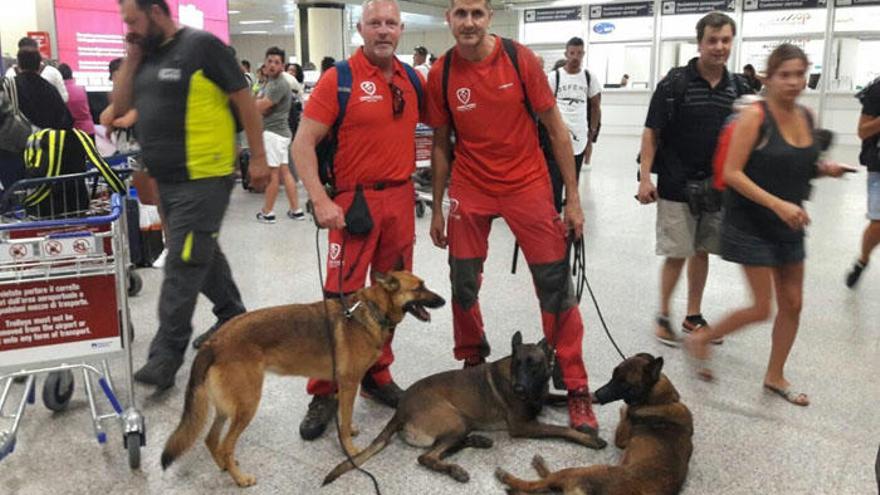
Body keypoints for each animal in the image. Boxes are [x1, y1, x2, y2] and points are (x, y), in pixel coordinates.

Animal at [158, 272, 444, 488]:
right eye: (419, 287)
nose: (442, 299)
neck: (371, 310)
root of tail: (213, 342)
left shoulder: (344, 385)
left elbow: (344, 415)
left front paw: (348, 429)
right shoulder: (349, 383)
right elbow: (345, 419)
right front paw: (351, 451)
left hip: (228, 408)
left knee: (211, 439)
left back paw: (226, 467)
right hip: (247, 405)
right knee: (226, 445)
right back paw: (239, 478)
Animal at [322, 332, 604, 486]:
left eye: (533, 364)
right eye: (517, 363)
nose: (518, 388)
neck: (533, 388)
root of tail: (400, 410)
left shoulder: (543, 398)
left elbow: (558, 397)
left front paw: (592, 396)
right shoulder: (523, 426)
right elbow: (562, 430)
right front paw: (589, 439)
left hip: (461, 423)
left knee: (445, 447)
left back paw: (478, 440)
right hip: (454, 420)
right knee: (427, 457)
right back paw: (455, 469)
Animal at [496, 354, 696, 494]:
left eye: (624, 383)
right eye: (613, 375)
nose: (599, 394)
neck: (663, 400)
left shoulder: (622, 436)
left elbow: (626, 411)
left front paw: (623, 407)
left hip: (582, 471)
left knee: (539, 484)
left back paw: (510, 477)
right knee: (547, 485)